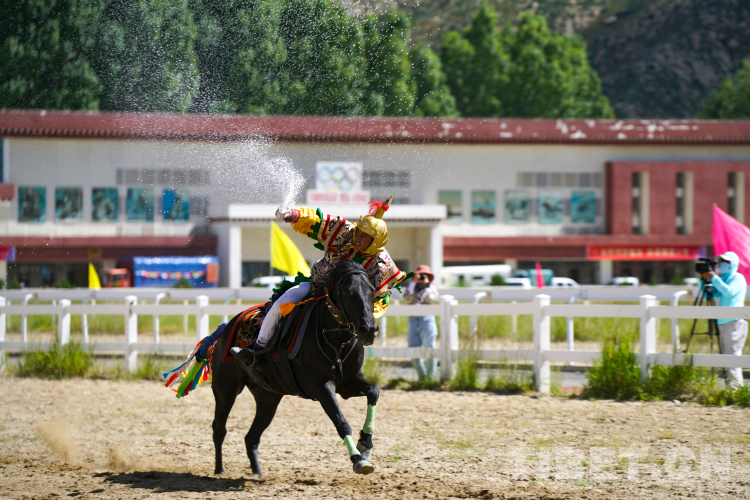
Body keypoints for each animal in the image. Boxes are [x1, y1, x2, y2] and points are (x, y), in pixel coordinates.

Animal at [210, 259, 381, 477]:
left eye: (372, 291)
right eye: (348, 292)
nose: (369, 330)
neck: (335, 341)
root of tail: (226, 327)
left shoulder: (348, 383)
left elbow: (373, 391)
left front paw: (365, 444)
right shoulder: (321, 386)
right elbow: (341, 422)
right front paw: (358, 460)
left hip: (268, 397)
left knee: (251, 438)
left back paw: (257, 473)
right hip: (226, 389)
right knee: (219, 428)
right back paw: (219, 470)